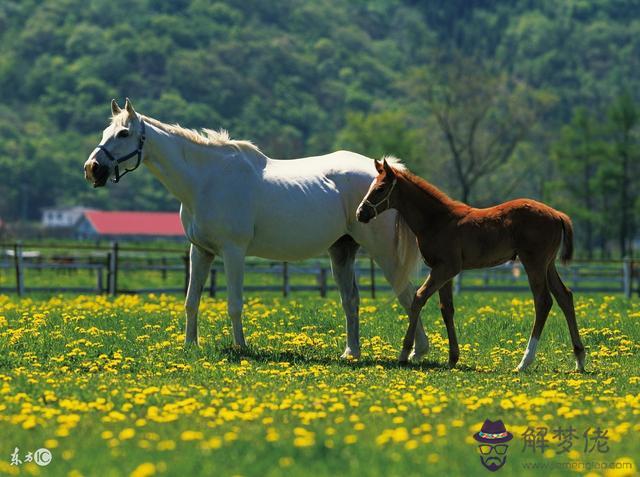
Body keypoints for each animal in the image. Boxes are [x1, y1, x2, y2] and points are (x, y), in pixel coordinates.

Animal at [81, 98, 430, 358]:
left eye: (124, 134)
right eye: (106, 131)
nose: (92, 169)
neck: (206, 180)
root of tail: (387, 176)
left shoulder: (233, 252)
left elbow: (234, 304)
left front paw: (241, 347)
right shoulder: (201, 251)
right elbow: (191, 301)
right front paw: (190, 346)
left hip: (384, 253)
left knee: (408, 295)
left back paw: (417, 352)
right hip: (341, 252)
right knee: (352, 300)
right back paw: (351, 353)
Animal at [356, 160, 584, 372]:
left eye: (380, 188)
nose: (360, 213)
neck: (438, 220)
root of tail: (557, 214)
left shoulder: (446, 268)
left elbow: (418, 298)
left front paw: (406, 353)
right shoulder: (442, 271)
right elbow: (446, 308)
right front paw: (453, 358)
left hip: (534, 263)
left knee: (543, 302)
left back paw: (524, 362)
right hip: (548, 265)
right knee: (565, 296)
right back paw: (579, 359)